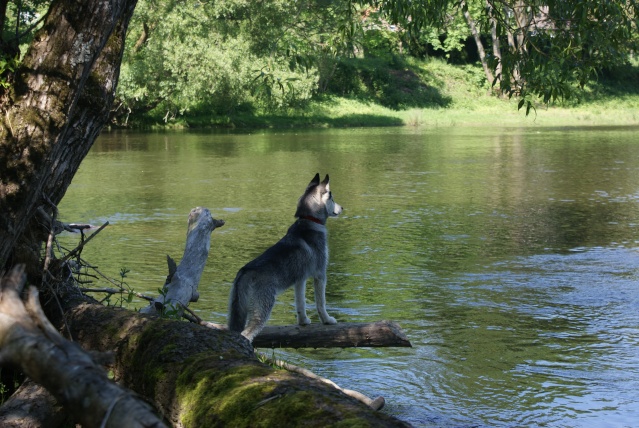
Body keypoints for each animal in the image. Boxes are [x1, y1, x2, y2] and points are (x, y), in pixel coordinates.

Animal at [228, 172, 342, 342]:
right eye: (332, 198)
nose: (342, 208)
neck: (309, 220)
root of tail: (244, 272)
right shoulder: (320, 275)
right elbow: (321, 303)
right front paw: (327, 320)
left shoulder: (300, 280)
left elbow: (300, 304)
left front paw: (303, 321)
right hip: (262, 309)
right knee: (247, 333)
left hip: (236, 313)